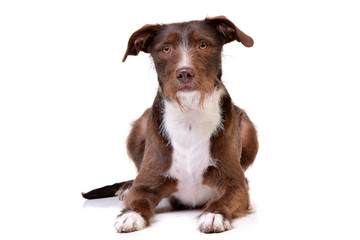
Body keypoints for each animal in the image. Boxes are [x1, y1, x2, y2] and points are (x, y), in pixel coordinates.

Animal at [81, 15, 258, 233]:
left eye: (203, 45)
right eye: (166, 49)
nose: (184, 72)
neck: (190, 111)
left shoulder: (234, 185)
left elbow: (224, 198)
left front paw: (214, 214)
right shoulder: (148, 182)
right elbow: (139, 197)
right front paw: (130, 214)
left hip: (248, 127)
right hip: (140, 124)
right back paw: (127, 187)